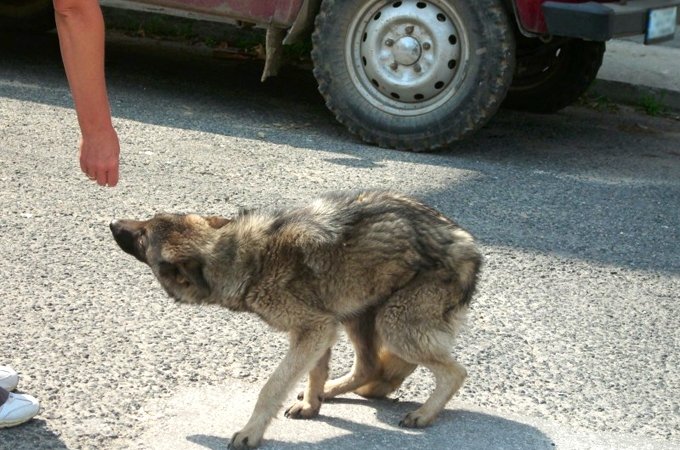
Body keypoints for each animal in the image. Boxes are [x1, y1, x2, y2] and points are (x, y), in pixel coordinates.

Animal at [110, 191, 478, 450]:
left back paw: (425, 414)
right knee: (369, 367)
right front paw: (312, 403)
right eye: (146, 222)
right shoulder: (320, 327)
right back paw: (333, 391)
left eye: (142, 237)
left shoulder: (314, 329)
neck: (246, 259)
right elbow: (315, 372)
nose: (113, 223)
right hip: (356, 313)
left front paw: (252, 432)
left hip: (392, 323)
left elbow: (271, 387)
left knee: (455, 372)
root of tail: (472, 249)